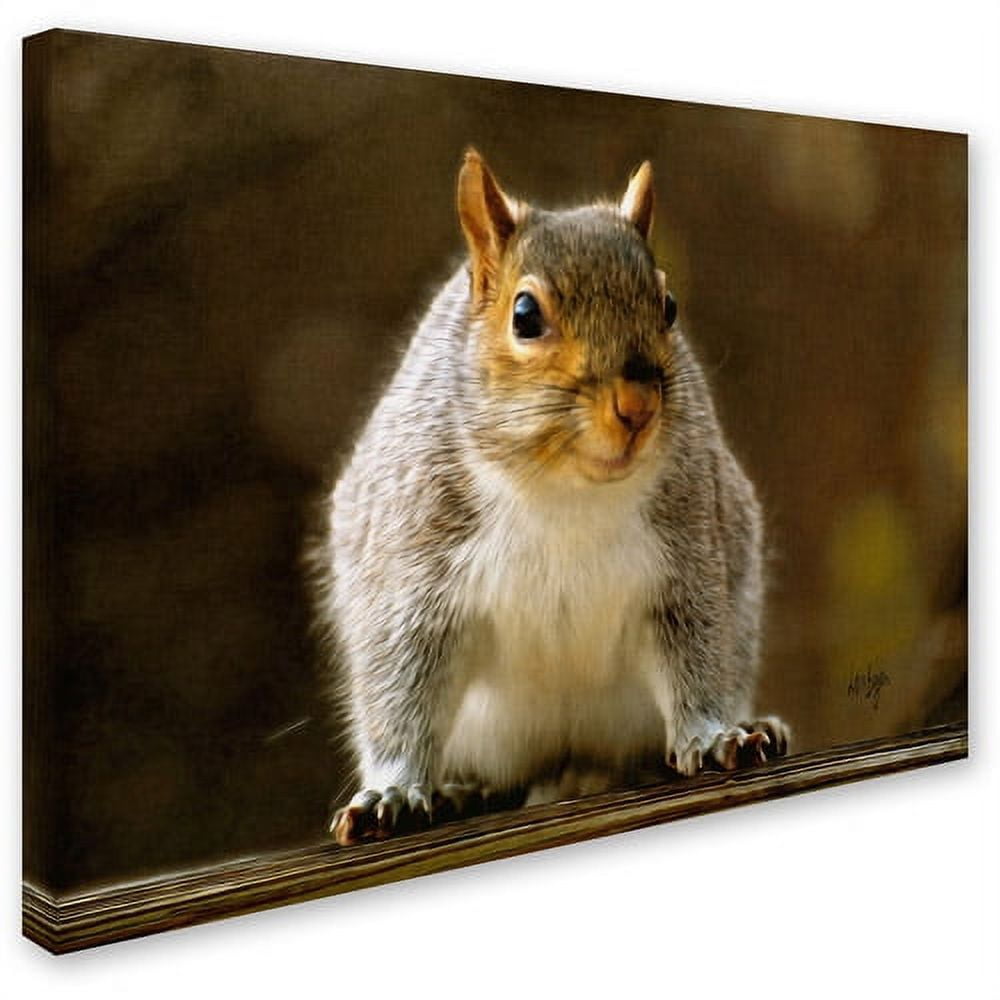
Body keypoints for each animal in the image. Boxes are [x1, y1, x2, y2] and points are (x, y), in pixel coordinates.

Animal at [312, 150, 790, 845]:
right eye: (525, 316)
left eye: (669, 305)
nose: (637, 406)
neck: (564, 493)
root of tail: (569, 766)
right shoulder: (415, 570)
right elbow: (402, 682)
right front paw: (394, 791)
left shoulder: (687, 557)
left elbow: (696, 654)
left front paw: (713, 736)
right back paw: (462, 790)